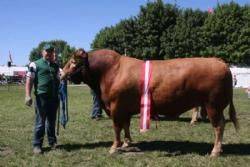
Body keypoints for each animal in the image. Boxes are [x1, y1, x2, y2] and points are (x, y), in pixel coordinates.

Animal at [60, 48, 238, 157]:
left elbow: (116, 128)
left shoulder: (115, 107)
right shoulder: (125, 109)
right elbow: (126, 126)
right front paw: (127, 143)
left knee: (219, 126)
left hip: (213, 105)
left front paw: (114, 147)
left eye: (73, 62)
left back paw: (215, 151)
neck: (111, 71)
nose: (60, 74)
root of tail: (218, 61)